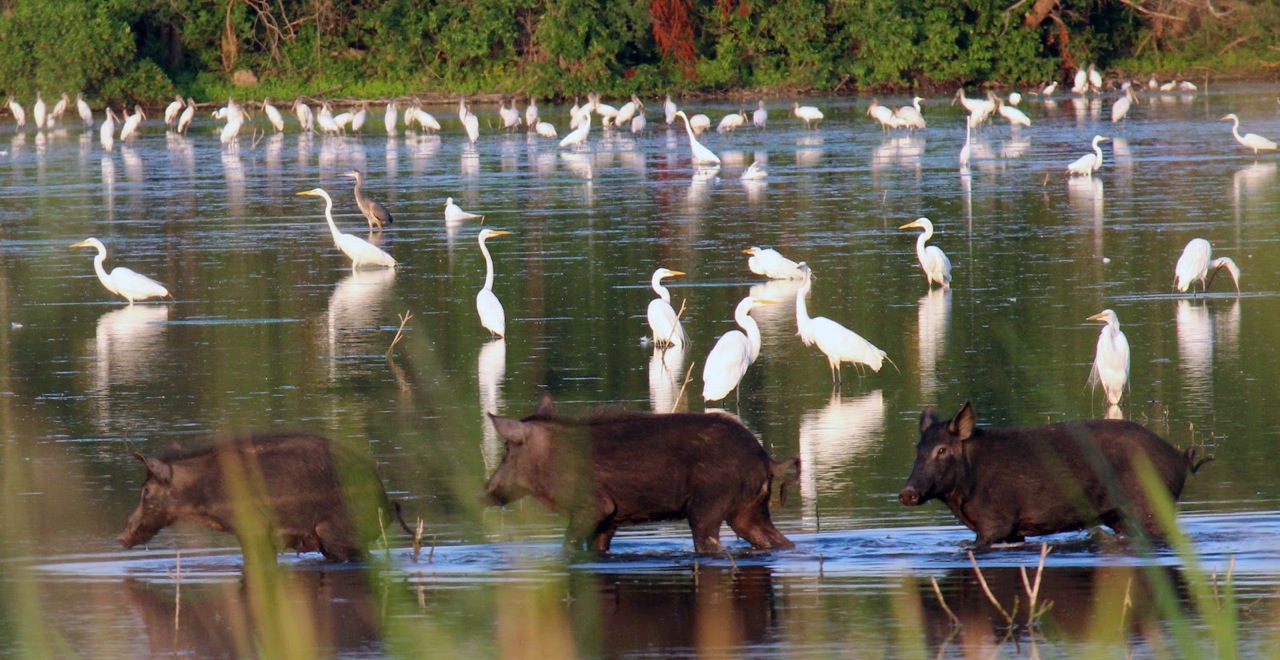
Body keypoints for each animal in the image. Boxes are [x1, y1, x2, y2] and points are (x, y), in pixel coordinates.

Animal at [482, 395, 798, 554]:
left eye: (506, 450)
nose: (485, 492)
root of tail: (767, 460)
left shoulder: (593, 505)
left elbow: (567, 545)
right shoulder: (609, 519)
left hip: (708, 506)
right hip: (749, 509)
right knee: (778, 541)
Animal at [899, 402, 1211, 547]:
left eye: (942, 450)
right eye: (917, 448)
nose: (907, 493)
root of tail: (1183, 460)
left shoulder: (997, 519)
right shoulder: (1012, 529)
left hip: (1151, 505)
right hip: (1120, 516)